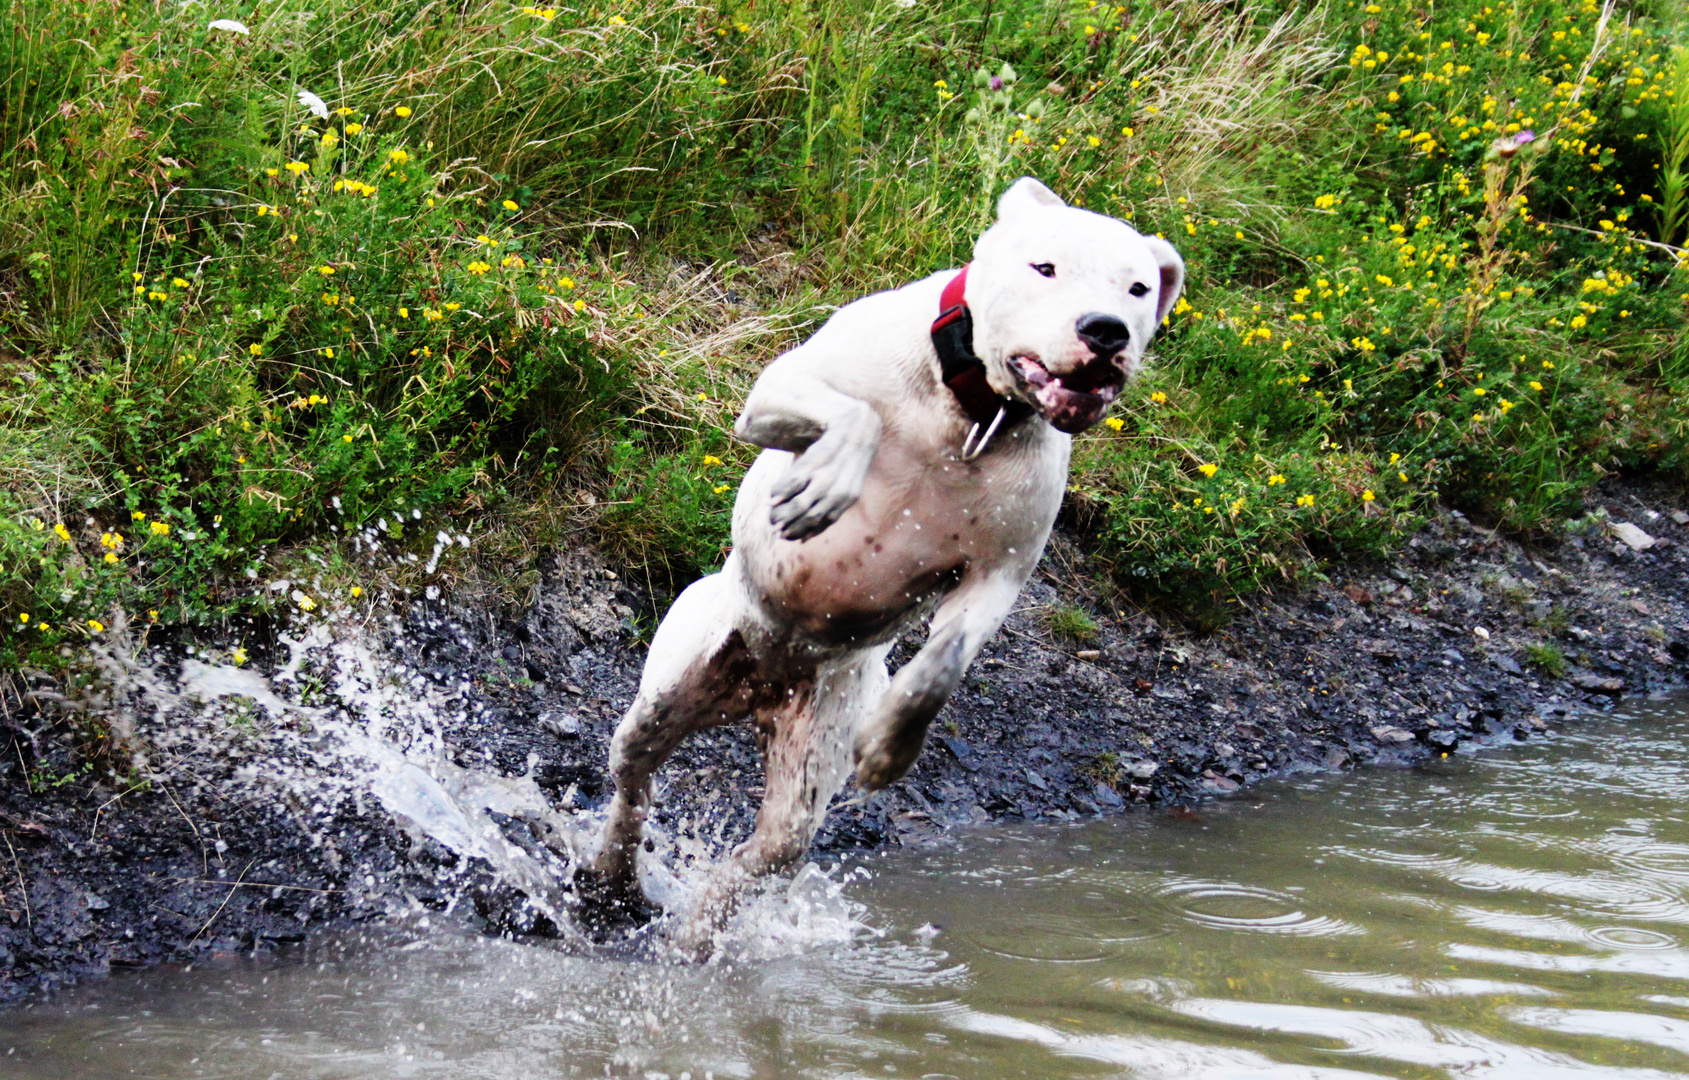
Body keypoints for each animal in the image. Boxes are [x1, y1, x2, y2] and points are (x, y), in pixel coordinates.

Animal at [587, 177, 1182, 953]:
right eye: (1045, 268)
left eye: (1138, 288)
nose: (1106, 330)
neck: (969, 408)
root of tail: (761, 687)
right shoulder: (777, 393)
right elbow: (855, 417)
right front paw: (829, 480)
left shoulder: (999, 574)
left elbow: (943, 665)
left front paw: (893, 746)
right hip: (673, 683)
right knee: (634, 781)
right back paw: (611, 873)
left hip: (816, 742)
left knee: (768, 849)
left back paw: (698, 934)